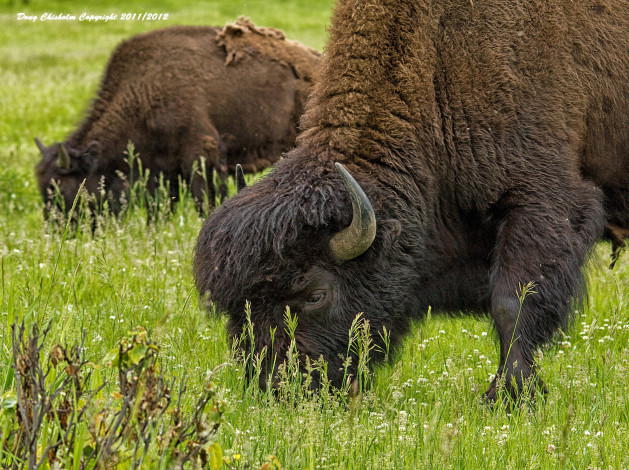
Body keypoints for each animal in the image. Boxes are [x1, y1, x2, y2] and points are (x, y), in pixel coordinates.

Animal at [35, 17, 322, 214]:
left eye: (62, 188)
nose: (61, 231)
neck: (143, 90)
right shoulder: (162, 171)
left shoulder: (201, 155)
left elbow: (205, 199)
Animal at [194, 0, 628, 402]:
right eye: (234, 308)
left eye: (315, 295)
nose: (279, 390)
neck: (435, 66)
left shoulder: (539, 203)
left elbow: (511, 304)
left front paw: (506, 396)